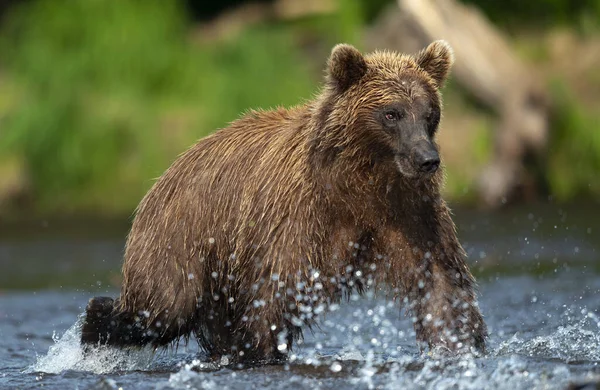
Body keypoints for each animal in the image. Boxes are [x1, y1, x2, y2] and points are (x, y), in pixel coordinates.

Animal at [81, 40, 488, 362]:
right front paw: (260, 350)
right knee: (163, 306)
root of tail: (166, 172)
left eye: (429, 113)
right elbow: (276, 293)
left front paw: (460, 344)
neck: (360, 182)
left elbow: (440, 284)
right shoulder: (297, 215)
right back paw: (95, 324)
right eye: (392, 113)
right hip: (182, 237)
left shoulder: (408, 214)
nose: (427, 159)